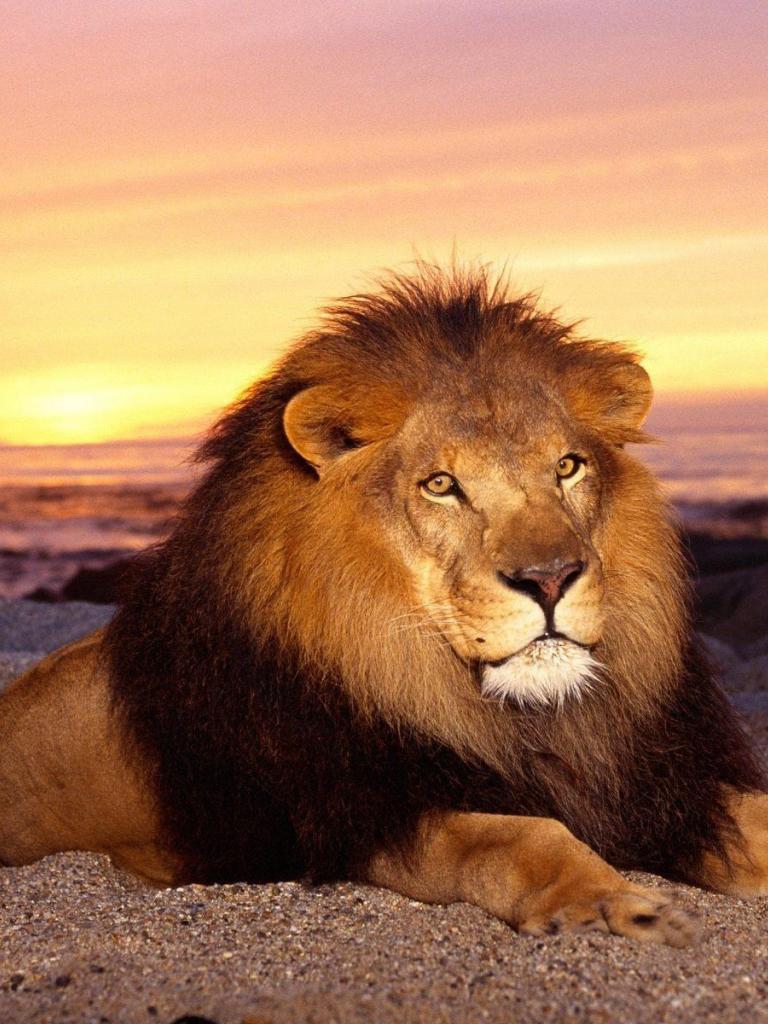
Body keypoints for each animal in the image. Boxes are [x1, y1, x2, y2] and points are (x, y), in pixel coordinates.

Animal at [1, 264, 767, 947]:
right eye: (441, 485)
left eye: (568, 467)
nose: (550, 579)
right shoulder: (365, 814)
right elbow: (520, 839)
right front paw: (615, 906)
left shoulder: (659, 788)